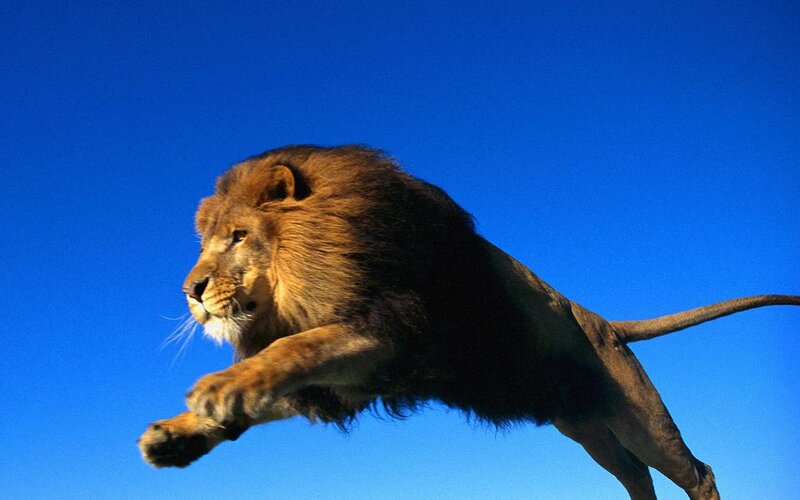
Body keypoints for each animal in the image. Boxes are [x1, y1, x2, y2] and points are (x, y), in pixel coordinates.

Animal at [138, 145, 799, 499]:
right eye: (204, 242)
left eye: (238, 236)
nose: (191, 291)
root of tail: (606, 323)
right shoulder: (354, 378)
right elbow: (277, 380)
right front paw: (177, 434)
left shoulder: (387, 332)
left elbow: (295, 349)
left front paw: (218, 389)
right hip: (586, 429)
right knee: (635, 475)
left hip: (639, 416)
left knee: (695, 469)